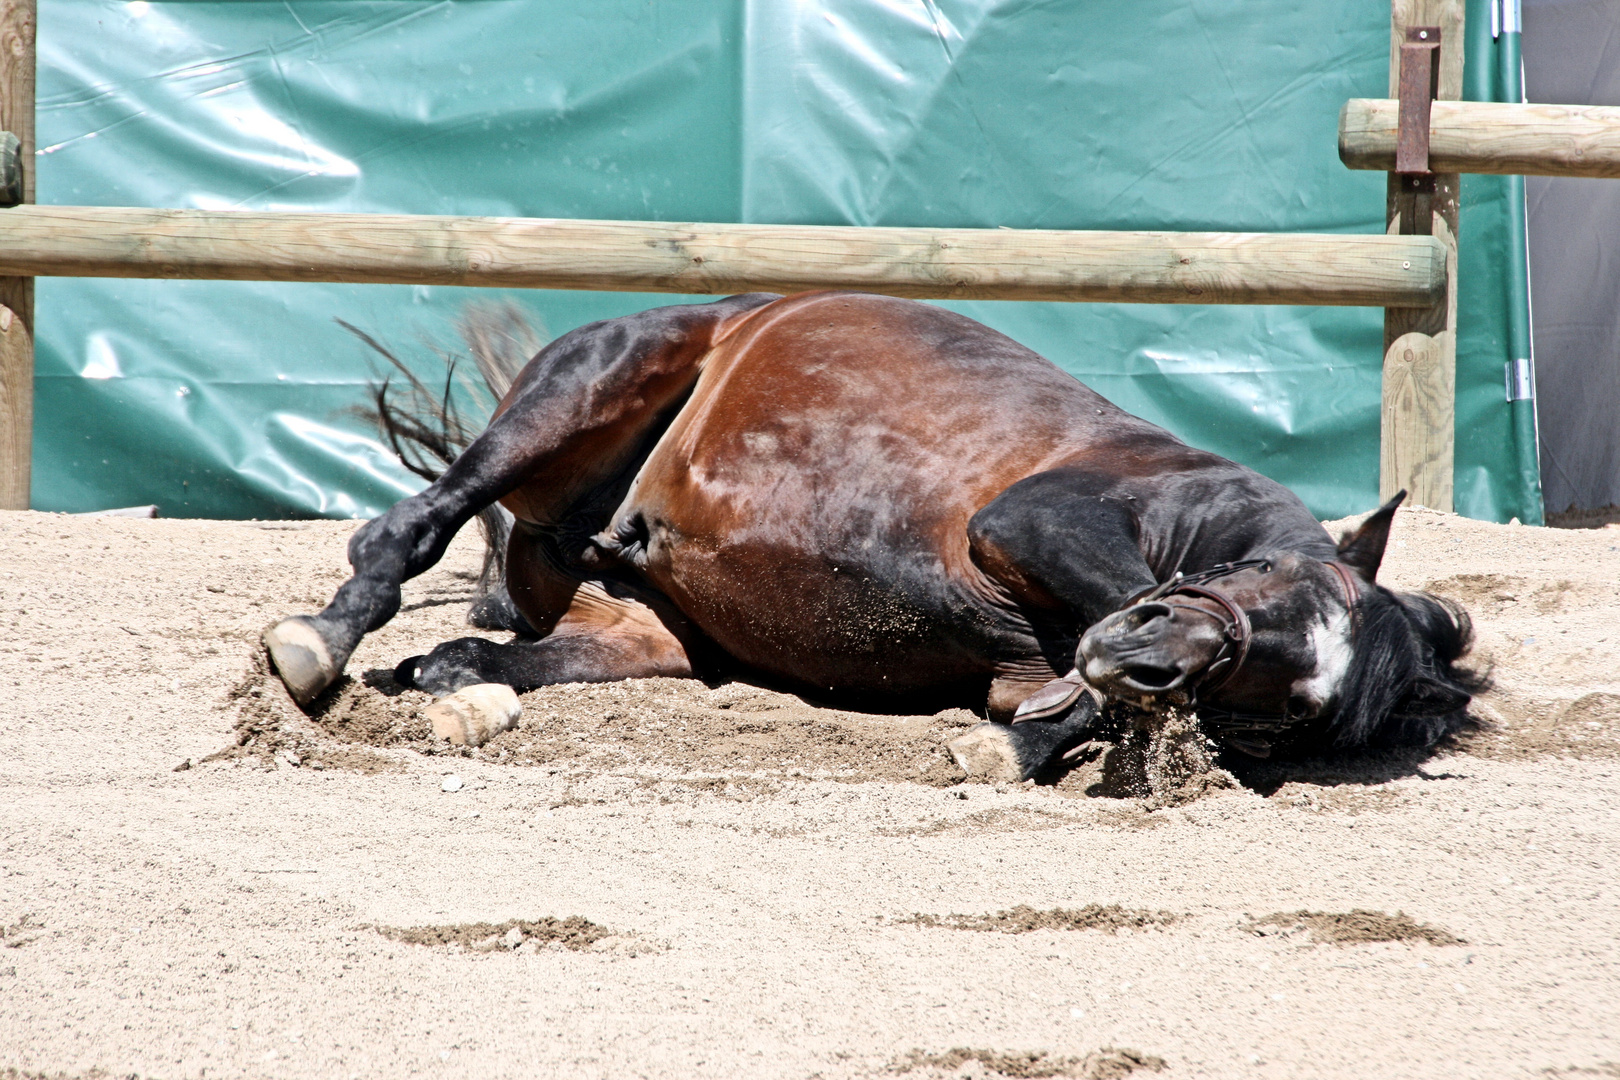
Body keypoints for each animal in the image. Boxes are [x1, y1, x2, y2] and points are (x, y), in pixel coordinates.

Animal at [262, 286, 1483, 777]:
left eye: (1282, 715)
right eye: (1270, 583)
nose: (1140, 655)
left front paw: (1029, 735)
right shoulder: (1034, 519)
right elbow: (1097, 608)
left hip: (643, 623)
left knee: (515, 643)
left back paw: (456, 670)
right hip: (589, 383)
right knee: (410, 530)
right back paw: (321, 643)